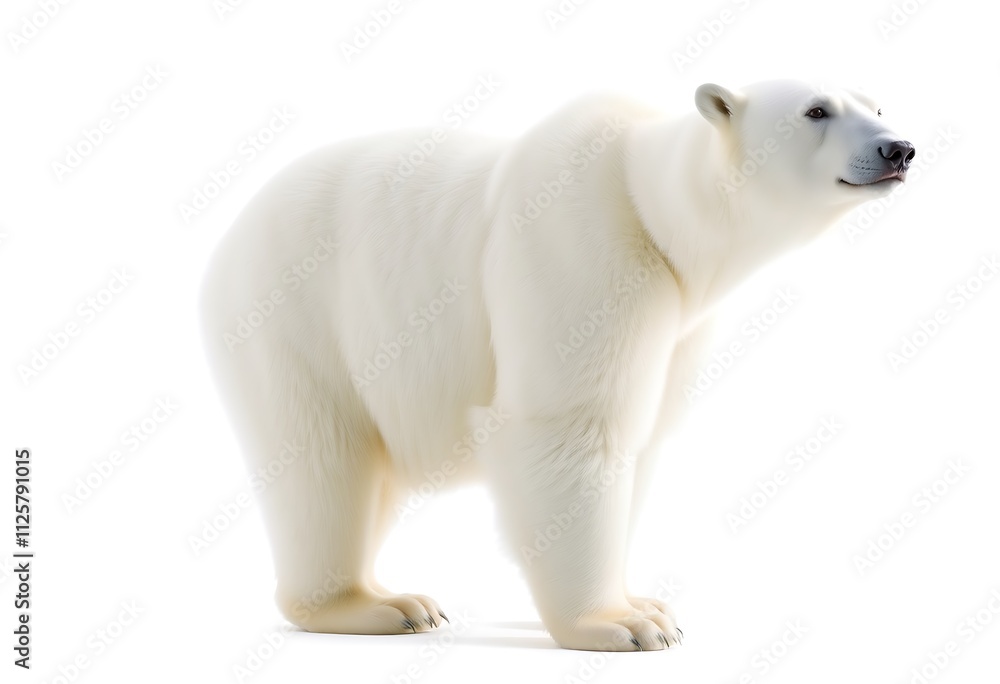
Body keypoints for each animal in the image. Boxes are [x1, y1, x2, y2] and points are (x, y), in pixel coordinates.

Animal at [200, 79, 914, 651]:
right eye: (816, 110)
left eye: (877, 104)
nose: (899, 148)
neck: (655, 207)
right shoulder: (585, 248)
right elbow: (573, 426)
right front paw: (619, 624)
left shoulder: (681, 319)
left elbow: (640, 440)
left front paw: (644, 600)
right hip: (295, 313)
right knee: (324, 458)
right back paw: (379, 606)